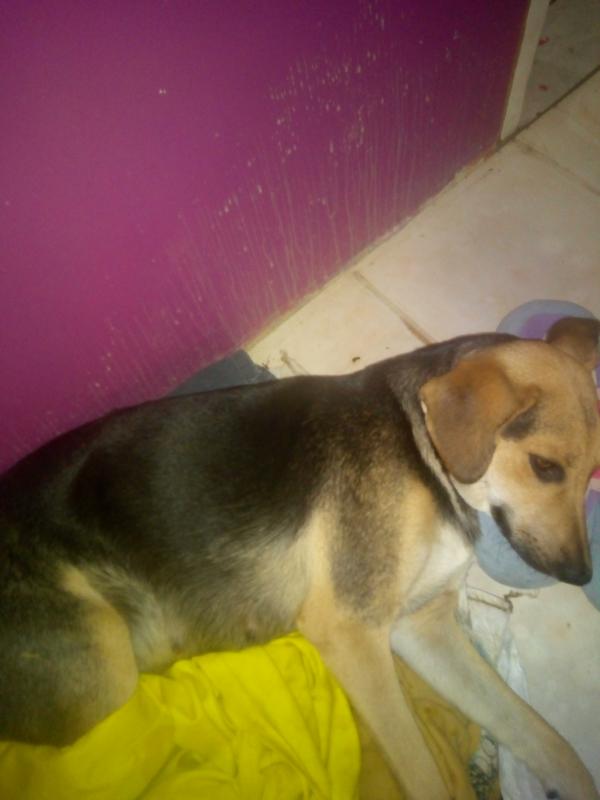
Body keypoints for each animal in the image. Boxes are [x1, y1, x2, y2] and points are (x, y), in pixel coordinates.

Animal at [1, 316, 599, 800]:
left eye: (592, 471)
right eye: (545, 467)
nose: (580, 575)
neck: (423, 452)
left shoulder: (422, 626)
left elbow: (541, 734)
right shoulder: (352, 630)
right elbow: (425, 775)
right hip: (105, 669)